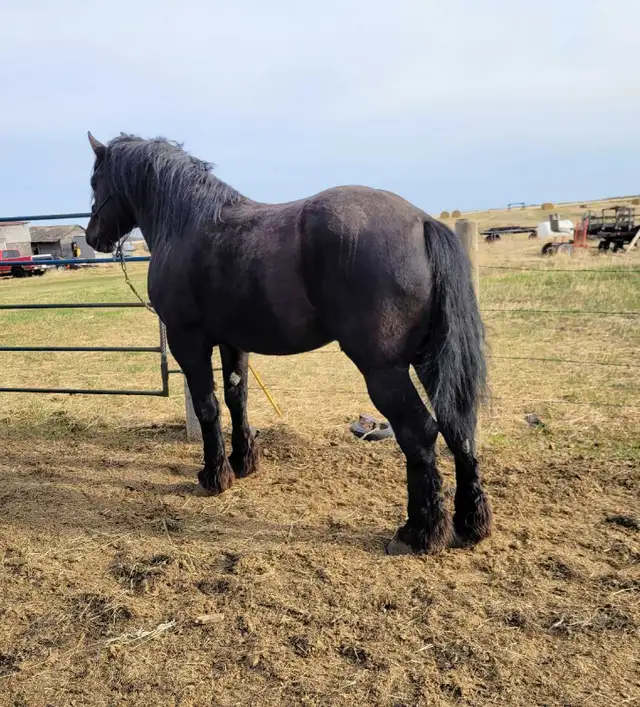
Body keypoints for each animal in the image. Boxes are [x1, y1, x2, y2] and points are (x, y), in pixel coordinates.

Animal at [85, 132, 491, 555]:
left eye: (95, 181)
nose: (92, 236)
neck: (187, 224)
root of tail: (422, 222)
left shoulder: (188, 341)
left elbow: (207, 406)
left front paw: (214, 475)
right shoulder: (233, 342)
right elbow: (237, 397)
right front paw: (243, 462)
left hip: (383, 369)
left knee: (420, 432)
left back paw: (418, 532)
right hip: (430, 359)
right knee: (458, 426)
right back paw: (469, 524)